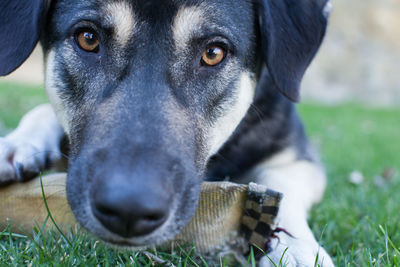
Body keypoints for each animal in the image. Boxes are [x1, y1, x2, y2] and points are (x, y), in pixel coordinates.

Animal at [0, 1, 334, 266]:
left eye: (213, 53)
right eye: (88, 38)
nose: (128, 211)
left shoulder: (298, 157)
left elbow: (281, 184)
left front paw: (296, 249)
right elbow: (42, 111)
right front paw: (19, 143)